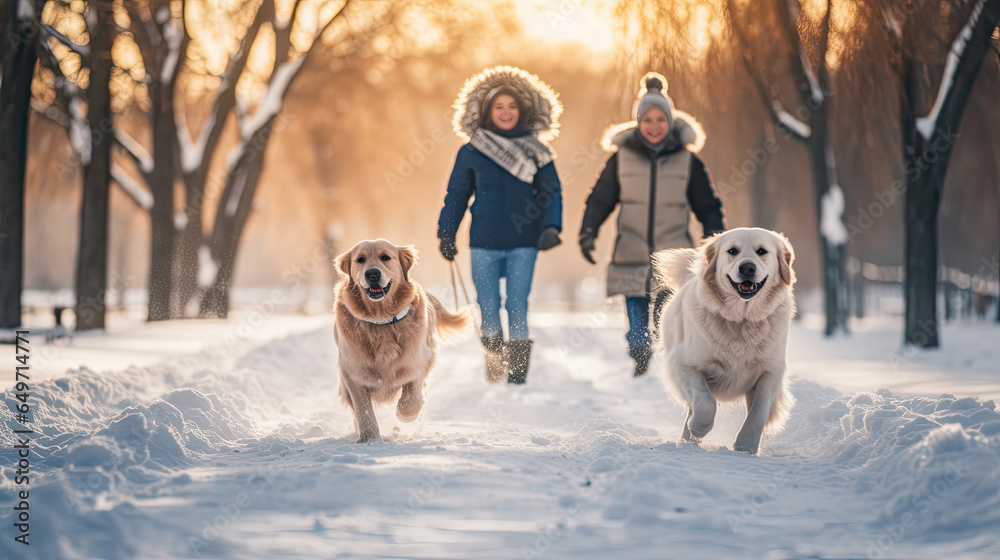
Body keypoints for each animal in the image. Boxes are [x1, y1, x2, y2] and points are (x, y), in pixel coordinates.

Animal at [648, 229, 796, 456]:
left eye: (762, 251)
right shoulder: (683, 365)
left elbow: (759, 412)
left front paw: (746, 446)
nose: (747, 267)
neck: (741, 321)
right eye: (732, 251)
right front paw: (698, 427)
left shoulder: (772, 372)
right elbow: (706, 403)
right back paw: (689, 440)